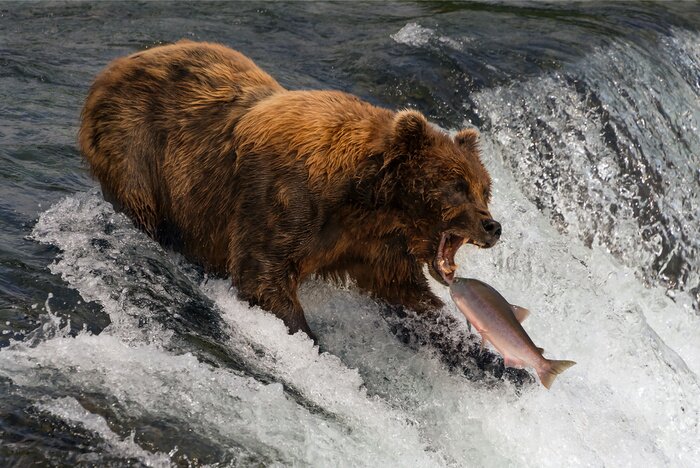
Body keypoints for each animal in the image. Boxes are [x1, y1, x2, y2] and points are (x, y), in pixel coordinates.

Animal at [79, 40, 501, 342]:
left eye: (484, 189)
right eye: (456, 186)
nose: (493, 226)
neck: (367, 198)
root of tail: (114, 66)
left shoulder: (370, 244)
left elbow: (409, 294)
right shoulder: (284, 199)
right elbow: (262, 275)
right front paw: (309, 339)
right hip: (136, 147)